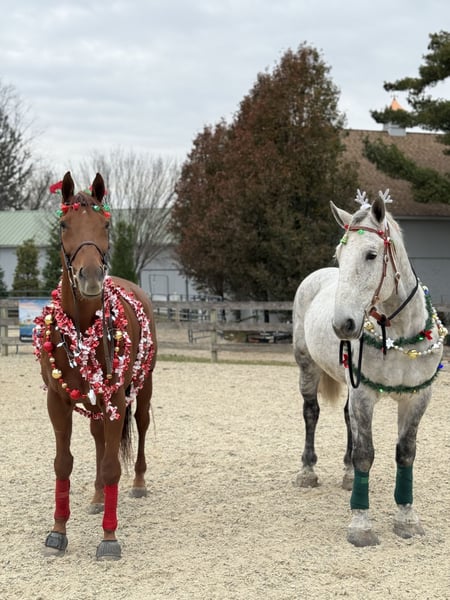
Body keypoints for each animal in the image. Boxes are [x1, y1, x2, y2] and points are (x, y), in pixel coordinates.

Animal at [33, 171, 157, 560]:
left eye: (106, 224)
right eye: (63, 224)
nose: (90, 276)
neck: (83, 326)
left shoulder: (116, 397)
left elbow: (114, 466)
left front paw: (109, 539)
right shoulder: (57, 401)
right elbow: (64, 463)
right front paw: (57, 533)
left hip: (142, 387)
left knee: (140, 427)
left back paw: (139, 482)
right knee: (99, 438)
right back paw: (98, 496)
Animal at [292, 190, 447, 547]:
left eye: (371, 255)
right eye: (340, 254)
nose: (343, 325)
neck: (400, 334)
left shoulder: (417, 397)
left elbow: (406, 453)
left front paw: (407, 519)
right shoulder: (365, 396)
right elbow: (366, 454)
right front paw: (361, 525)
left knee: (346, 419)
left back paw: (348, 475)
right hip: (307, 367)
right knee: (311, 413)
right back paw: (308, 471)